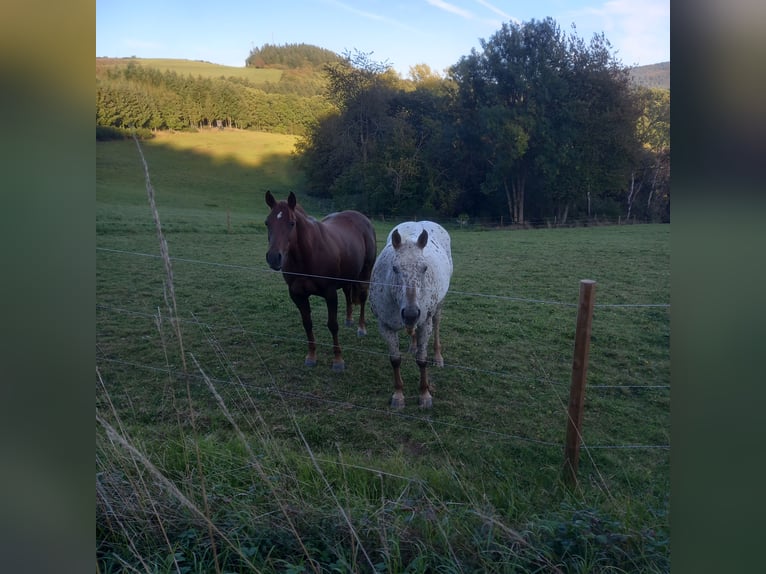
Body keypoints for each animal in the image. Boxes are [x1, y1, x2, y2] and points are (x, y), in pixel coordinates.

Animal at [266, 192, 380, 374]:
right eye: (267, 223)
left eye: (292, 223)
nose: (273, 258)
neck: (307, 255)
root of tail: (362, 218)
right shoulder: (297, 295)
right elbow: (307, 324)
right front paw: (311, 356)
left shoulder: (330, 293)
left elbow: (332, 325)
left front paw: (338, 360)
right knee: (348, 293)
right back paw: (349, 319)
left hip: (365, 274)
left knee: (362, 297)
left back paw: (361, 328)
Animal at [368, 222, 452, 410]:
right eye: (394, 268)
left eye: (425, 268)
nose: (411, 313)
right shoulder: (385, 326)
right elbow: (395, 360)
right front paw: (398, 395)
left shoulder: (425, 324)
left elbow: (421, 359)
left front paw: (425, 395)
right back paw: (413, 345)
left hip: (438, 307)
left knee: (437, 324)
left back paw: (438, 357)